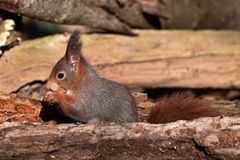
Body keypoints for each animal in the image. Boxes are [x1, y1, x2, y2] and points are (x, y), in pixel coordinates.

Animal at [42, 30, 239, 124]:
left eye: (60, 75)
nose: (48, 85)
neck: (80, 84)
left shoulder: (86, 99)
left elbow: (76, 107)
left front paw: (54, 96)